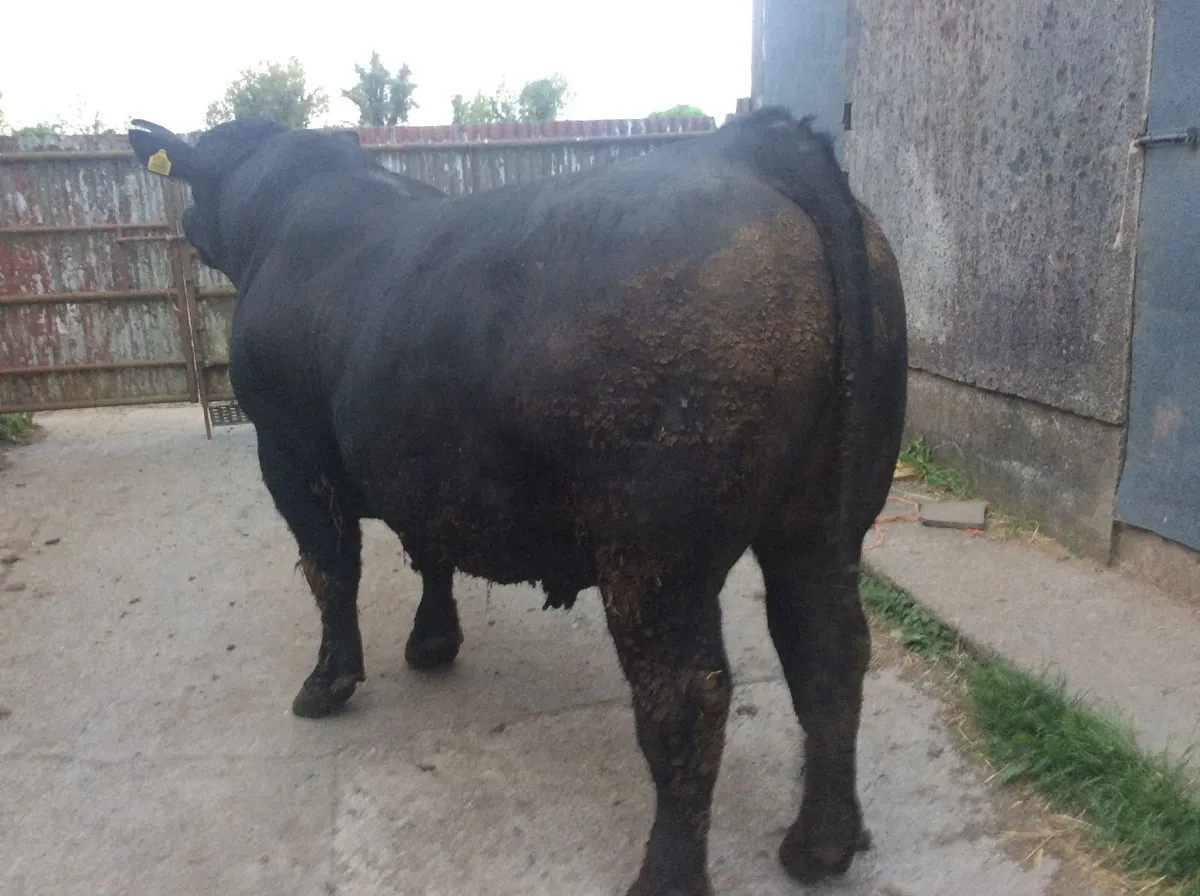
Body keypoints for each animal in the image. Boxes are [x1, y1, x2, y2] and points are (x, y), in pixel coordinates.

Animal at [129, 107, 907, 895]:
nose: (185, 221)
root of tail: (753, 148)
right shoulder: (425, 464)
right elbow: (429, 550)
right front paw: (432, 643)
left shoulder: (289, 453)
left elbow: (331, 571)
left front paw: (326, 683)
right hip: (821, 522)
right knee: (829, 650)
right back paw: (823, 843)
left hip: (655, 547)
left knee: (687, 695)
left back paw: (669, 875)